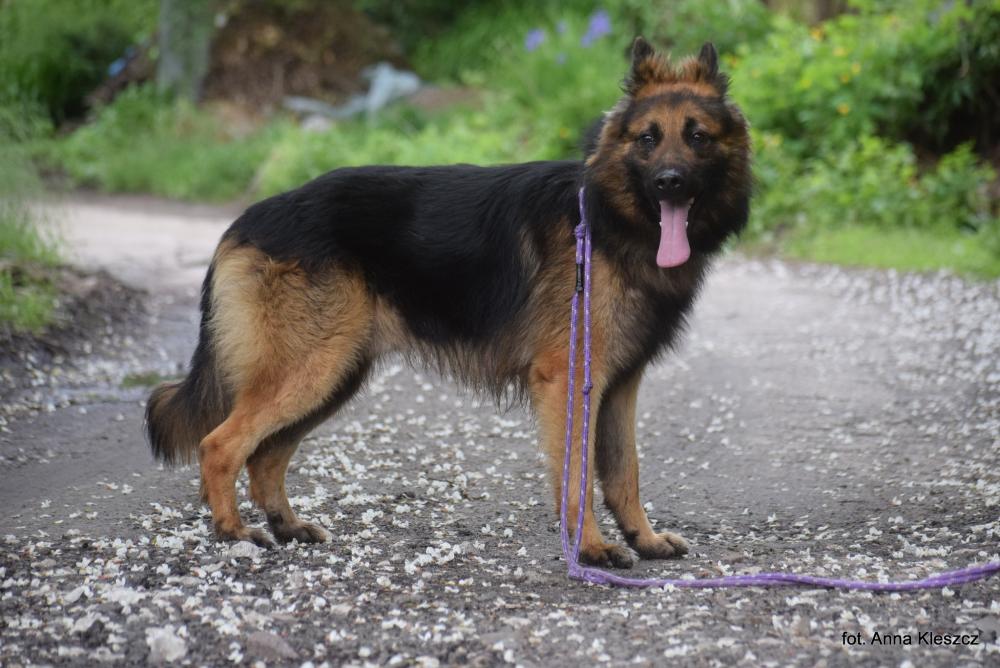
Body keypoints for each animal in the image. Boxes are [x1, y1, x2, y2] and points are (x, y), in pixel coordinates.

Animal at [145, 37, 751, 568]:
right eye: (648, 139)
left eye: (697, 136)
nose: (670, 182)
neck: (607, 222)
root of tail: (247, 219)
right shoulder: (571, 380)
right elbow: (579, 474)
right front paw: (590, 549)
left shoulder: (619, 386)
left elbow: (626, 471)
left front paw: (644, 539)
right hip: (310, 370)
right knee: (220, 445)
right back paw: (233, 532)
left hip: (333, 375)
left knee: (266, 454)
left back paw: (287, 526)